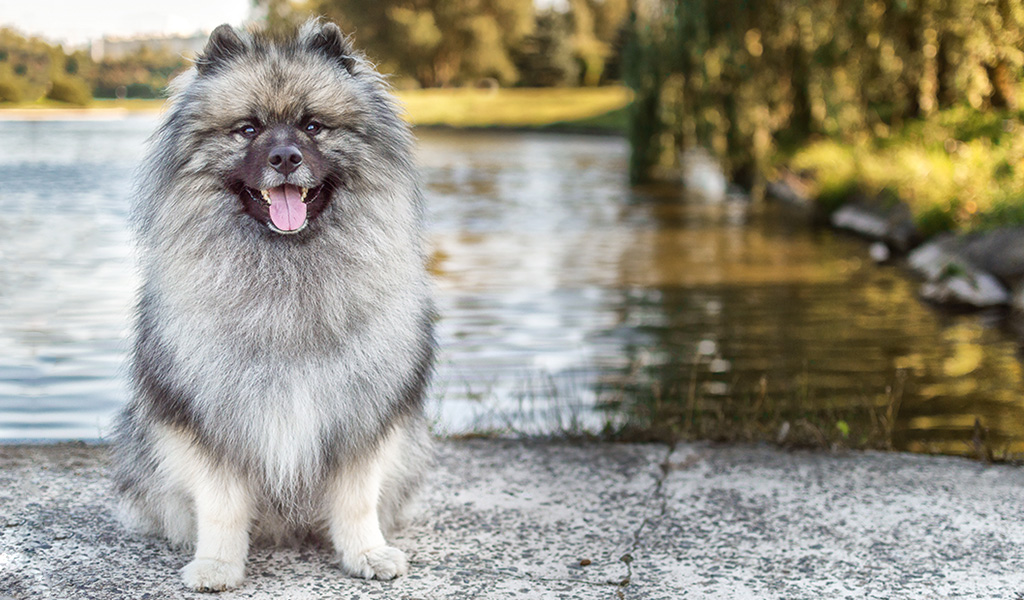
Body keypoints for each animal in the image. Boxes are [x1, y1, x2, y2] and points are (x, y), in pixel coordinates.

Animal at [110, 19, 434, 593]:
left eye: (313, 126)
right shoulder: (212, 419)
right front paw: (217, 564)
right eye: (247, 129)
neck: (286, 270)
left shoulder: (360, 417)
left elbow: (357, 500)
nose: (285, 158)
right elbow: (220, 505)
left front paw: (367, 554)